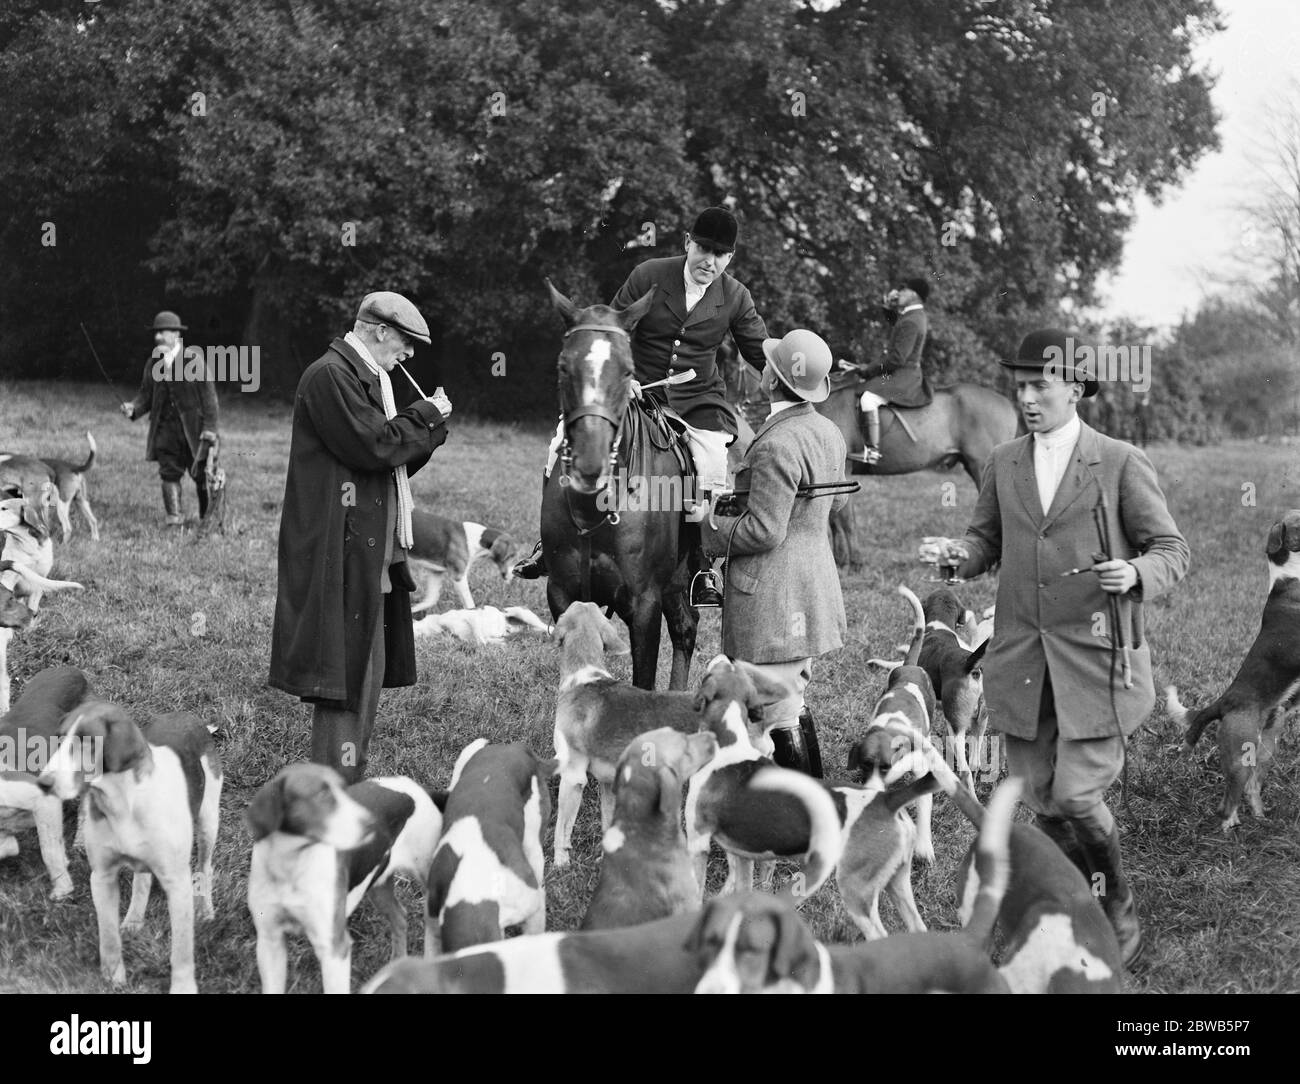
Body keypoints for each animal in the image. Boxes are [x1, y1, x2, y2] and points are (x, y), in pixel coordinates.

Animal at [538, 278, 702, 686]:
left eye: (628, 371)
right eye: (563, 367)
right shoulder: (562, 594)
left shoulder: (644, 604)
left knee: (685, 629)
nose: (589, 467)